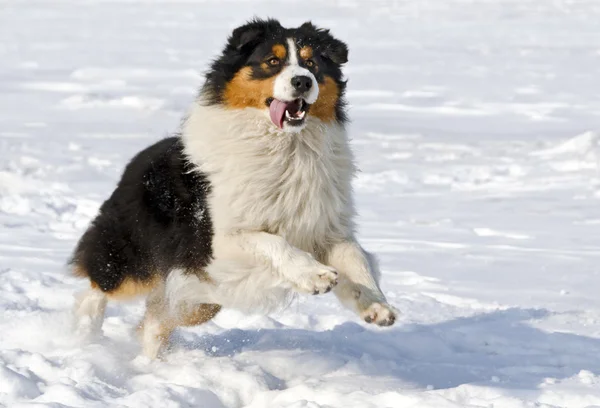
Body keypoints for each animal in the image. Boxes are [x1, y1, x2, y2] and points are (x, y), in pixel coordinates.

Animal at [70, 17, 396, 358]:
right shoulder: (219, 241)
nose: (303, 82)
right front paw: (315, 276)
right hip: (135, 257)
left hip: (201, 294)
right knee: (98, 286)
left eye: (312, 63)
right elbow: (273, 242)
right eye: (272, 61)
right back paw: (83, 336)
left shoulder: (326, 227)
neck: (287, 149)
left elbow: (356, 258)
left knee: (156, 320)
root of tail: (134, 162)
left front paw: (376, 306)